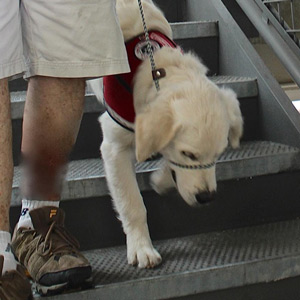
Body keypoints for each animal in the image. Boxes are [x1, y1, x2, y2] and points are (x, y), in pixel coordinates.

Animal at [88, 0, 243, 268]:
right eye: (188, 154)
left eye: (219, 154)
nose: (206, 197)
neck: (156, 70)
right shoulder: (114, 145)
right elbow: (132, 204)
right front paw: (141, 248)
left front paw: (161, 179)